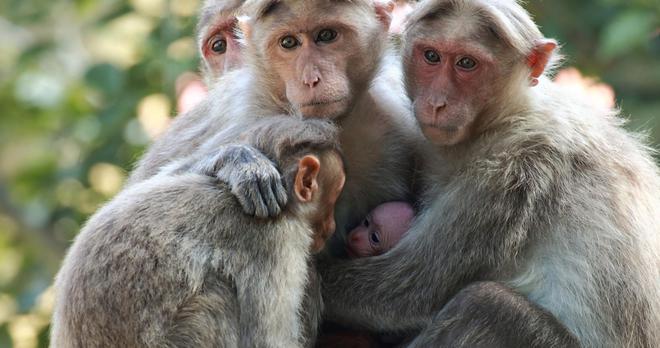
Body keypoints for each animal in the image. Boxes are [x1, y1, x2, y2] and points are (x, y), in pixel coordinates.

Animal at [51, 117, 348, 348]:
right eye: (333, 200)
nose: (331, 225)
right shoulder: (275, 242)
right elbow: (266, 341)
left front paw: (232, 160)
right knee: (218, 298)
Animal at [318, 0, 656, 348]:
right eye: (431, 56)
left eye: (467, 64)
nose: (437, 103)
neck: (502, 119)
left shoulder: (512, 170)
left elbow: (405, 291)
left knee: (485, 306)